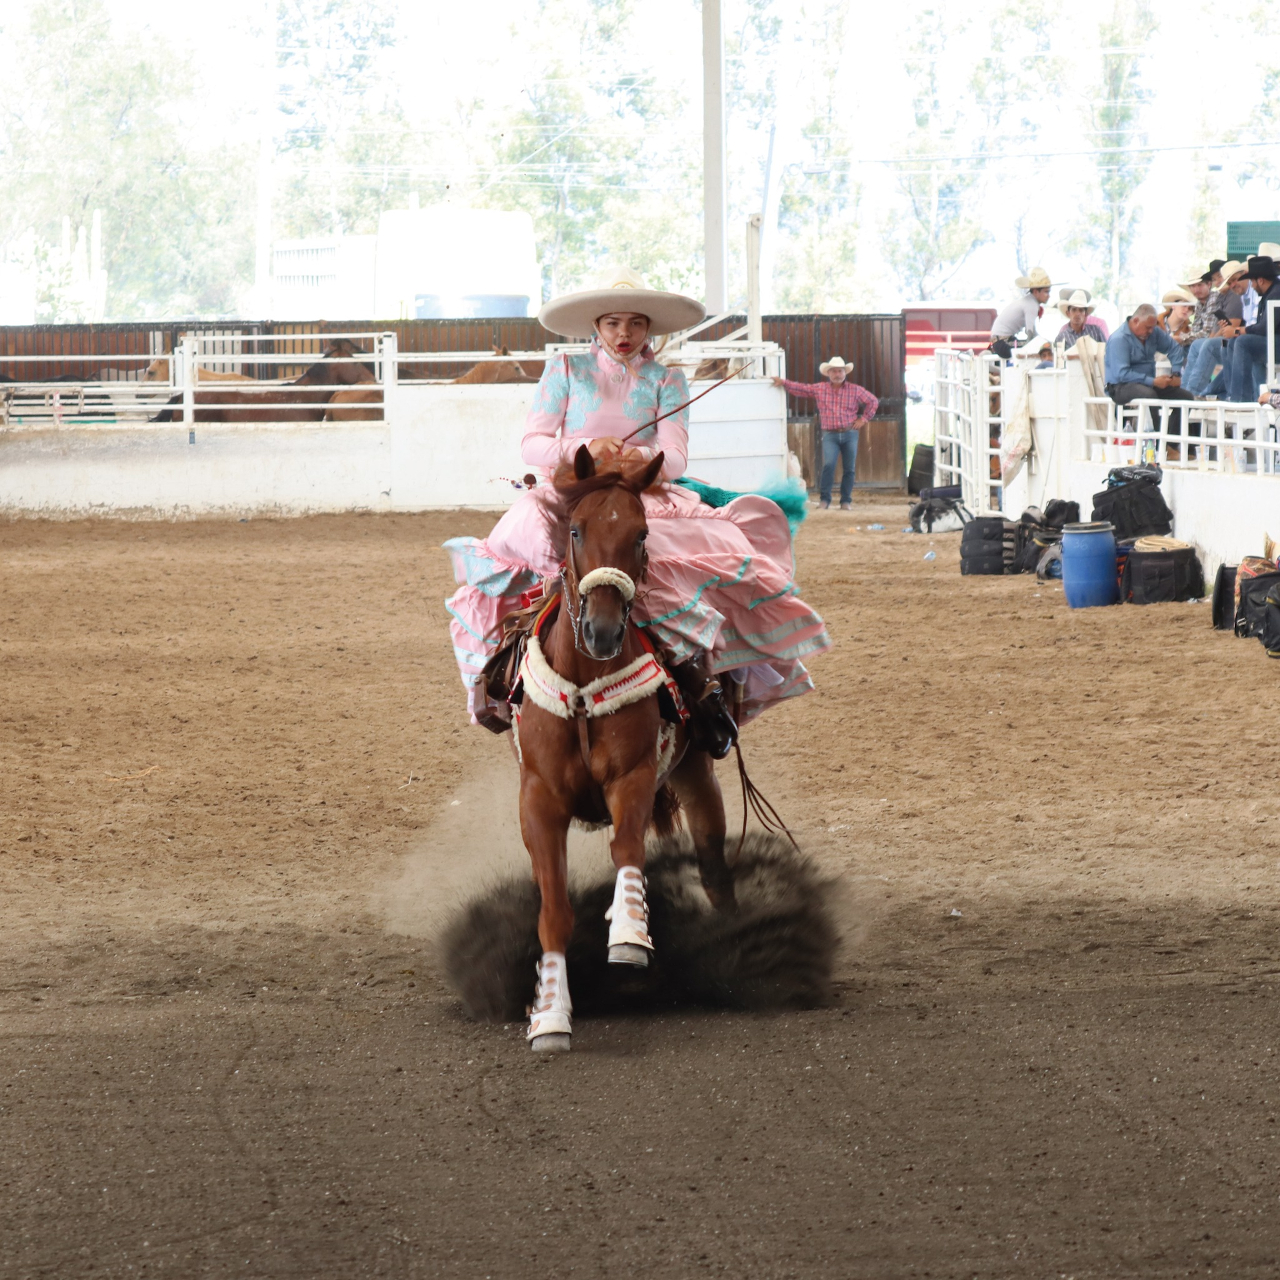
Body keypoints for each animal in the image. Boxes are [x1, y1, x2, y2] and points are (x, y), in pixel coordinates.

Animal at [509, 445, 732, 1054]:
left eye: (641, 533)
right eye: (576, 529)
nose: (604, 632)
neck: (585, 688)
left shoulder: (632, 777)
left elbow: (628, 848)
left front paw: (630, 933)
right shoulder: (538, 800)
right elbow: (553, 911)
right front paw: (549, 1015)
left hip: (698, 779)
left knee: (715, 875)